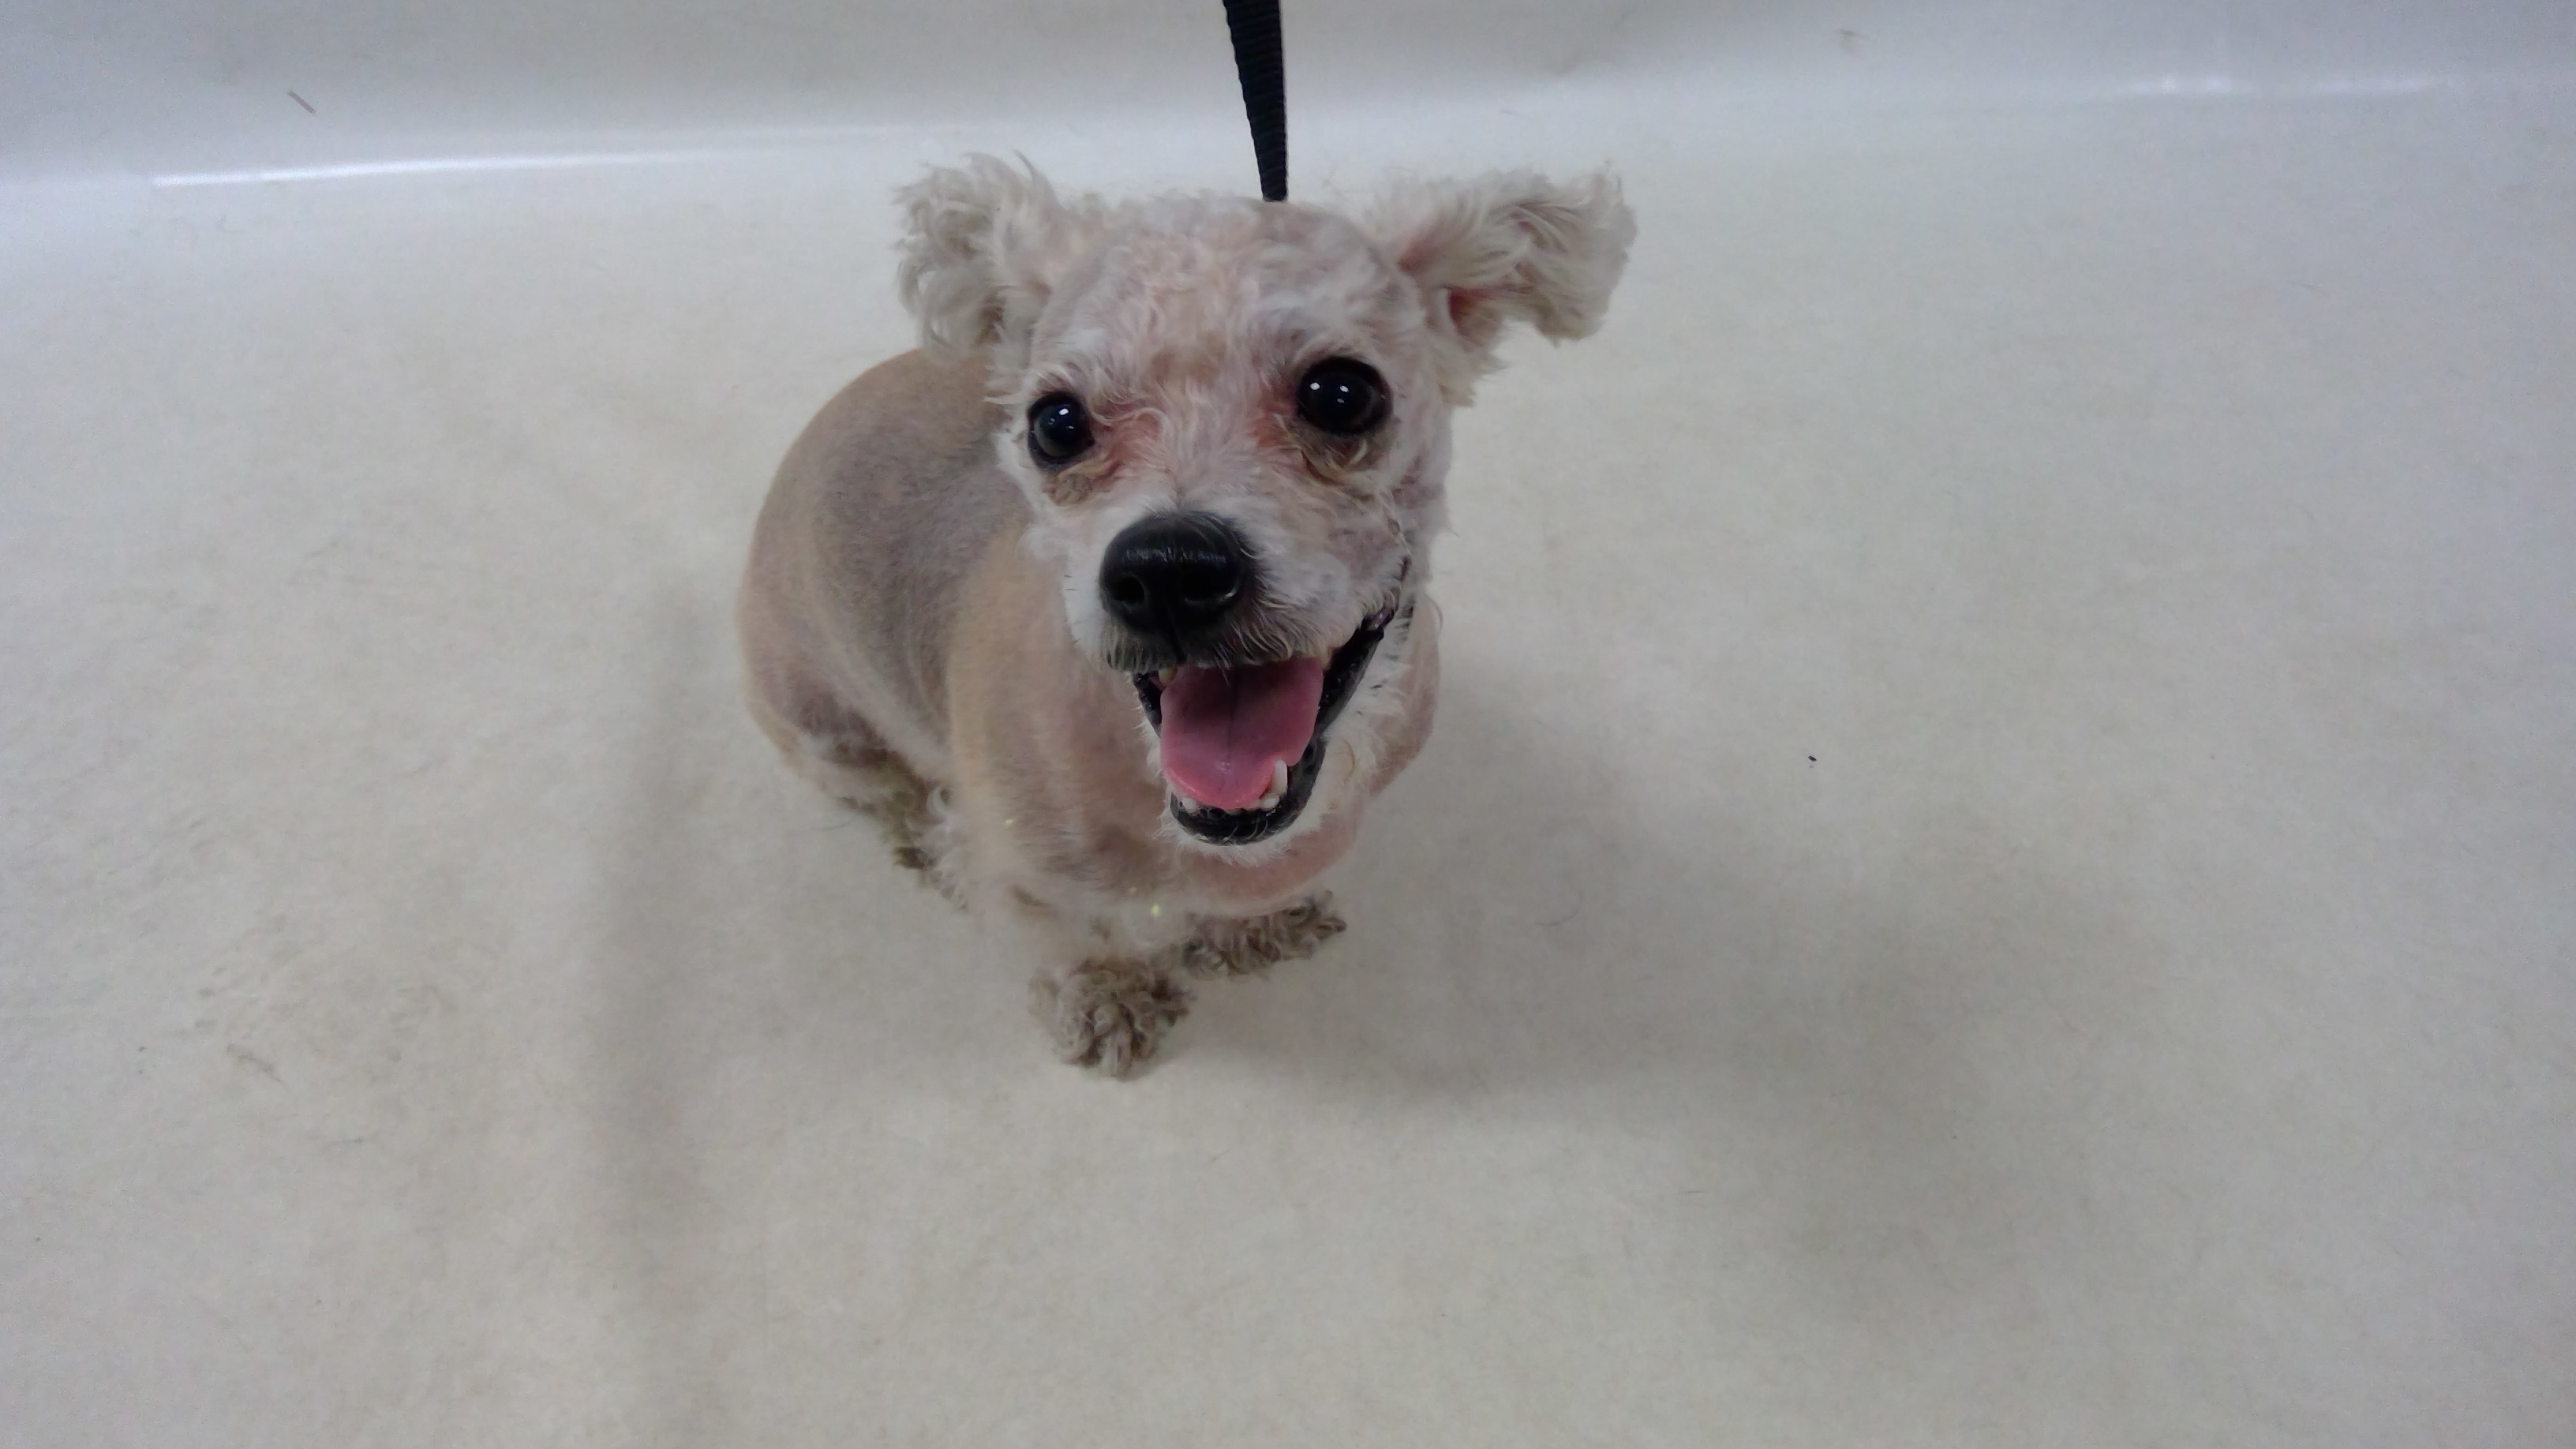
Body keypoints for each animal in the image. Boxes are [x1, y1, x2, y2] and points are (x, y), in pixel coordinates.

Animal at [738, 157, 1633, 1074]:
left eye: (1343, 395)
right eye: (1055, 423)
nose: (1167, 571)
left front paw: (1251, 927)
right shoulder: (1019, 871)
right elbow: (1068, 938)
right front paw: (1106, 997)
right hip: (826, 732)